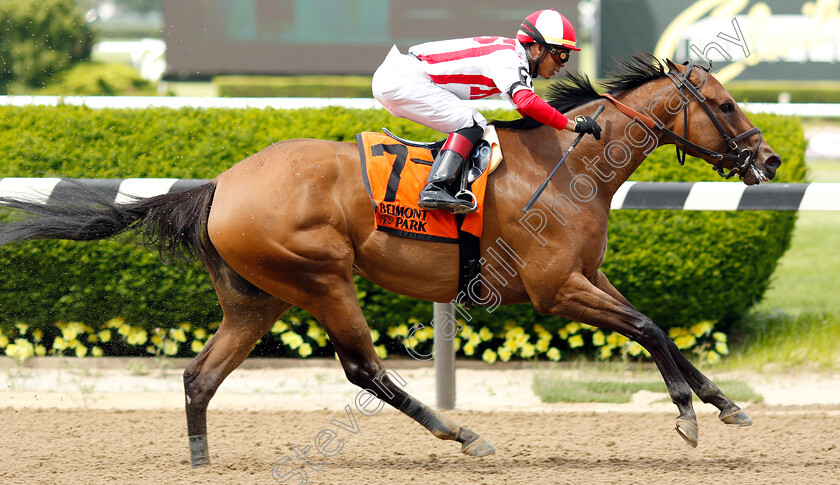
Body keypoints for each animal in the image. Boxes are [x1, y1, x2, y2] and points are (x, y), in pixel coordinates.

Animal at [0, 54, 780, 466]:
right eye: (723, 103)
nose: (768, 159)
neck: (570, 164)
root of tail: (221, 184)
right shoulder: (555, 289)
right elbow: (646, 327)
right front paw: (689, 415)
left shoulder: (587, 275)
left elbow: (662, 330)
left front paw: (725, 403)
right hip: (321, 277)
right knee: (362, 368)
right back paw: (460, 431)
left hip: (257, 298)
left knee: (200, 376)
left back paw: (200, 460)